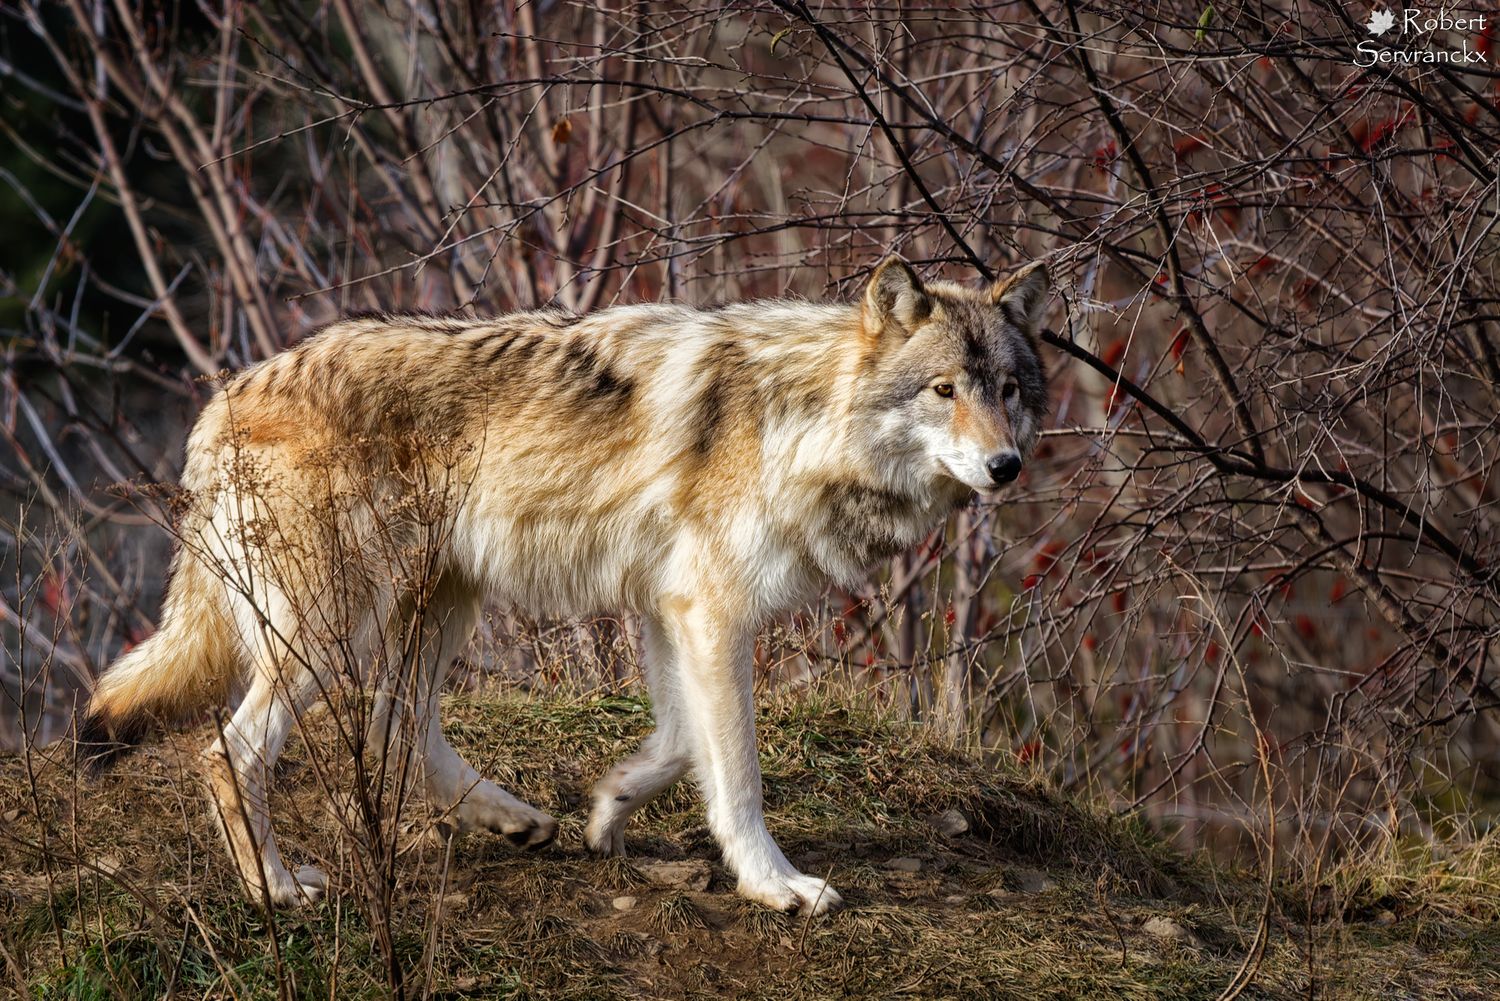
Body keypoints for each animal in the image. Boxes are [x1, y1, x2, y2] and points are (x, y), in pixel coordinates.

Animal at [78, 256, 1050, 916]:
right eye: (942, 389)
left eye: (1007, 388)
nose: (1007, 467)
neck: (801, 420)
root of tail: (224, 394)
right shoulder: (712, 610)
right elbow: (737, 771)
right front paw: (775, 885)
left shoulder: (669, 610)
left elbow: (679, 742)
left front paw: (609, 810)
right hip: (332, 629)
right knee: (229, 750)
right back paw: (277, 890)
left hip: (441, 602)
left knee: (397, 725)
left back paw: (515, 821)